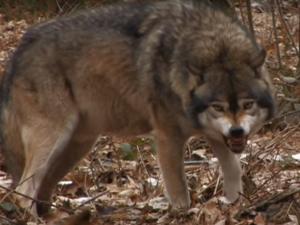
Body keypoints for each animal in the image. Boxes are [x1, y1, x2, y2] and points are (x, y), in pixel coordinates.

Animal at [0, 0, 276, 214]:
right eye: (217, 107)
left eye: (247, 104)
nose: (237, 132)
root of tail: (21, 47)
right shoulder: (167, 138)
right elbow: (179, 192)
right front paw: (182, 214)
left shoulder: (216, 137)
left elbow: (234, 173)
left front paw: (236, 206)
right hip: (54, 139)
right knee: (22, 190)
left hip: (77, 145)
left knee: (40, 187)